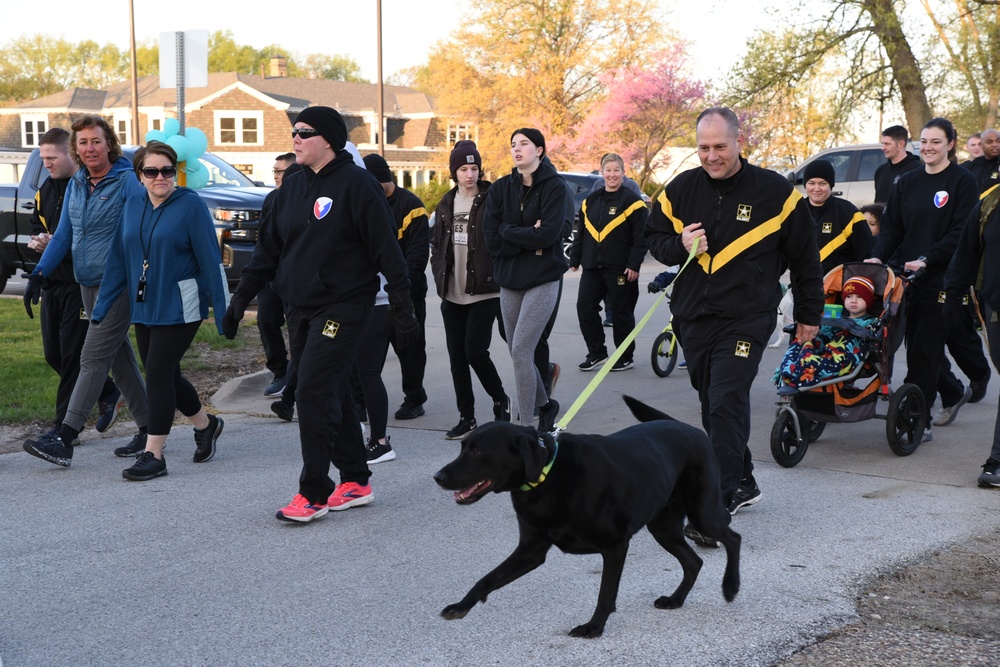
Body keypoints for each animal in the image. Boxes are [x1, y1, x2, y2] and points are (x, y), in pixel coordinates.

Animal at [434, 394, 740, 640]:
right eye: (463, 447)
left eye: (477, 451)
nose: (438, 477)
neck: (547, 475)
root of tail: (690, 428)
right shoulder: (531, 551)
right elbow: (487, 578)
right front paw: (460, 606)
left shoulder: (615, 545)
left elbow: (605, 594)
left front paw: (593, 627)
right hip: (663, 527)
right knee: (693, 562)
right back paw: (676, 600)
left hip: (703, 513)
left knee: (732, 537)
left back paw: (730, 586)